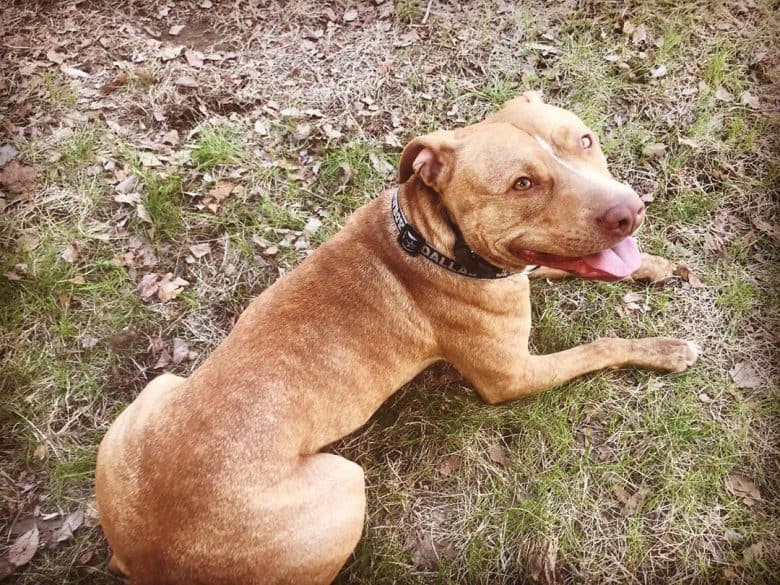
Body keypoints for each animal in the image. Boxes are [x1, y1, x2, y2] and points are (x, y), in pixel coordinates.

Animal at [94, 93, 696, 580]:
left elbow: (565, 267)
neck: (431, 238)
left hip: (154, 394)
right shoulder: (512, 377)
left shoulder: (521, 273)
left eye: (585, 140)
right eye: (523, 184)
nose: (630, 210)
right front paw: (665, 349)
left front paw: (655, 266)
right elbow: (602, 346)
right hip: (343, 486)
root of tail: (144, 558)